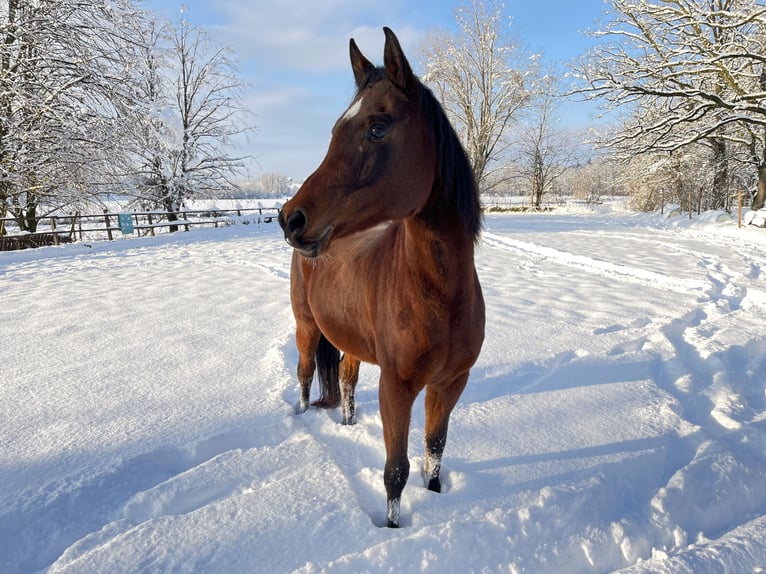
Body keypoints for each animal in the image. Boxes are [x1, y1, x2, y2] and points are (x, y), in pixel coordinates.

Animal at [280, 28, 486, 532]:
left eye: (377, 127)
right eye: (336, 130)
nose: (291, 219)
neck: (440, 295)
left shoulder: (450, 383)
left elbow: (434, 451)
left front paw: (436, 498)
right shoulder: (398, 386)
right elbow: (396, 471)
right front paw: (393, 530)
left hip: (350, 341)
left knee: (347, 383)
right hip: (305, 327)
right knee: (305, 375)